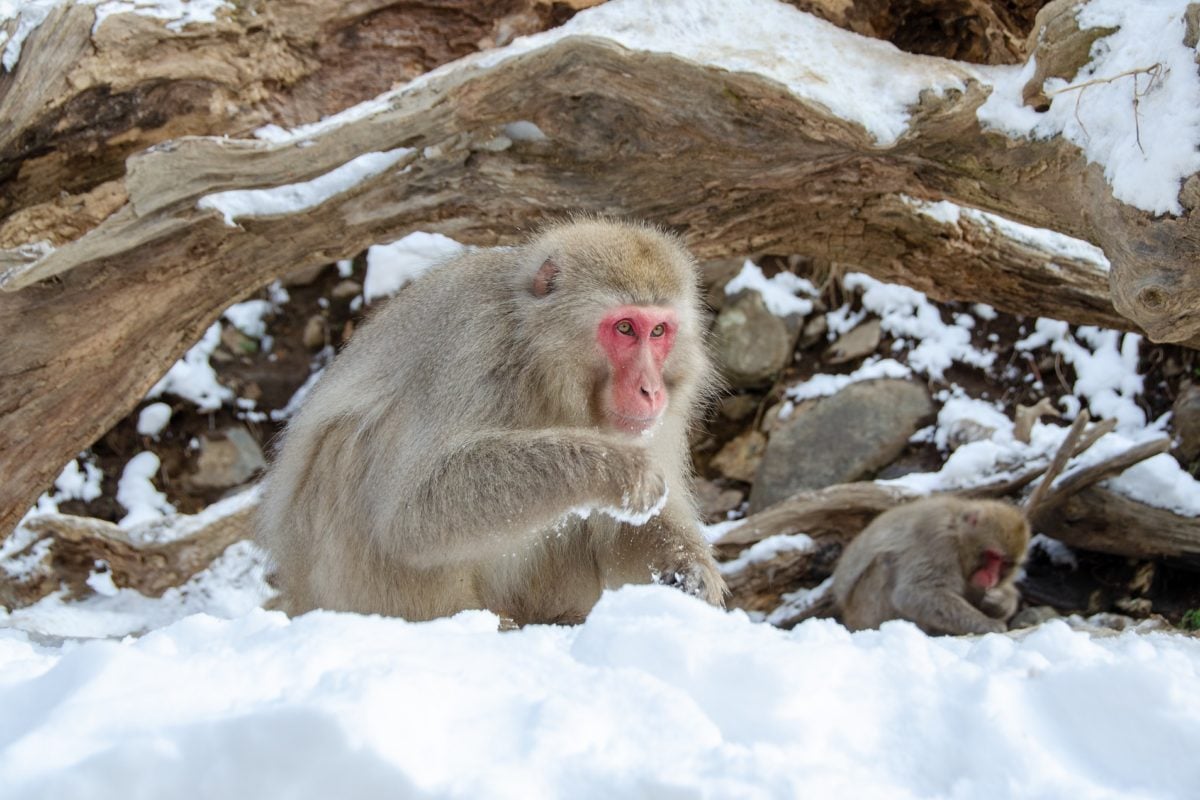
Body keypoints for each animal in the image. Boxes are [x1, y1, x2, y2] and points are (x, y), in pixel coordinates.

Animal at [259, 219, 724, 623]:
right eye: (626, 328)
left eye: (659, 331)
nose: (651, 390)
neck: (542, 367)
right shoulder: (474, 345)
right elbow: (412, 511)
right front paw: (616, 468)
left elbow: (625, 532)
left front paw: (690, 570)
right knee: (352, 447)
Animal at [835, 496, 1032, 633]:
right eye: (992, 556)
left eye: (1005, 563)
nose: (992, 576)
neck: (957, 532)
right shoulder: (938, 542)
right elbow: (916, 592)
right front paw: (989, 624)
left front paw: (1000, 602)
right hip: (864, 614)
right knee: (885, 562)